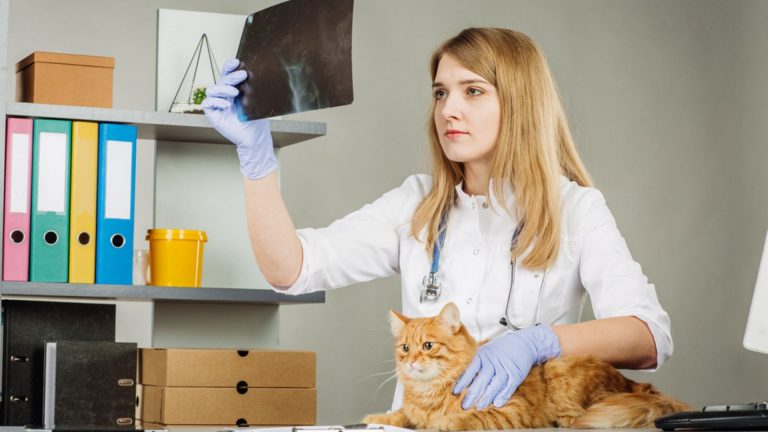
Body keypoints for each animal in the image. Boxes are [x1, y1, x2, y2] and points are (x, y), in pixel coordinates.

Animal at [364, 302, 688, 430]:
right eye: (405, 348)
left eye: (428, 346)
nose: (411, 362)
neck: (430, 394)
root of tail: (635, 384)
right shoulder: (412, 411)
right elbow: (400, 416)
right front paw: (376, 418)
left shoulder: (510, 410)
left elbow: (469, 418)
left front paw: (446, 422)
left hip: (560, 369)